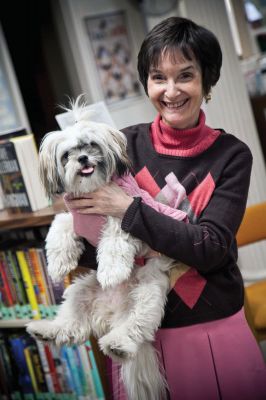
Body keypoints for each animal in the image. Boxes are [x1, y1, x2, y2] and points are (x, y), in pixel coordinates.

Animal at [25, 97, 175, 400]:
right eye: (67, 154)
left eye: (91, 145)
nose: (82, 159)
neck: (92, 192)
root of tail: (112, 314)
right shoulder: (73, 216)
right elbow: (59, 226)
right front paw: (57, 263)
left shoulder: (125, 215)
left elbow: (115, 241)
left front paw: (111, 272)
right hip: (79, 292)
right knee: (71, 328)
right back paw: (45, 331)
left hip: (148, 295)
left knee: (136, 327)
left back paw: (117, 345)